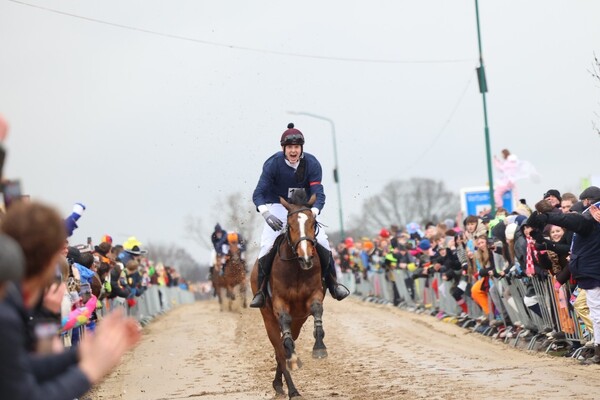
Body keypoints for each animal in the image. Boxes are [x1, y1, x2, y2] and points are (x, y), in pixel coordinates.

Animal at [250, 191, 328, 399]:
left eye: (313, 223)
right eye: (290, 225)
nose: (306, 257)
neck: (297, 268)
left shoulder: (314, 294)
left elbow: (317, 310)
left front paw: (319, 347)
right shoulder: (279, 303)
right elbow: (284, 344)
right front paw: (293, 360)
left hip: (298, 321)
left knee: (285, 345)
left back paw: (279, 384)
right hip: (268, 319)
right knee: (280, 351)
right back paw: (291, 389)